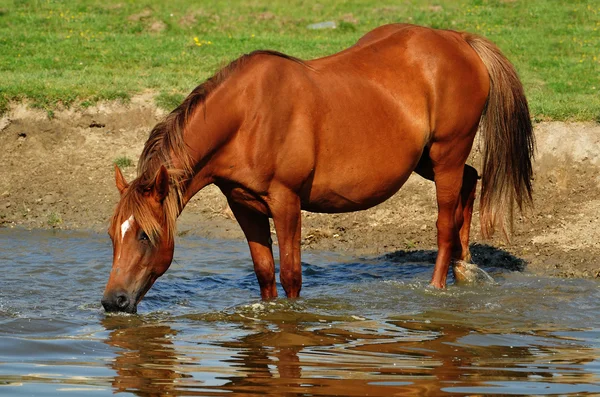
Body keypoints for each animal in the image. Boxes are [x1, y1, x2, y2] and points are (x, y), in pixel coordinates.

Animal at [101, 23, 532, 312]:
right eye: (112, 235)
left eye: (145, 235)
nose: (112, 301)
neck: (247, 119)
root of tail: (458, 39)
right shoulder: (244, 205)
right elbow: (264, 273)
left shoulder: (287, 203)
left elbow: (291, 275)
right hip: (427, 159)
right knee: (470, 184)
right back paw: (465, 270)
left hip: (446, 154)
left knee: (444, 223)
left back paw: (439, 285)